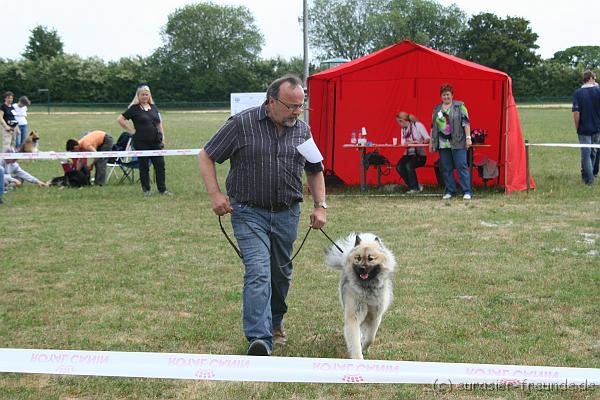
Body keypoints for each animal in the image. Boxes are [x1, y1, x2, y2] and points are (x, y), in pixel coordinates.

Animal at [326, 231, 396, 360]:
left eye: (370, 258)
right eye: (358, 258)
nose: (362, 268)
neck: (367, 288)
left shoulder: (375, 316)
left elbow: (370, 338)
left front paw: (364, 347)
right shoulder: (353, 316)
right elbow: (355, 342)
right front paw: (358, 356)